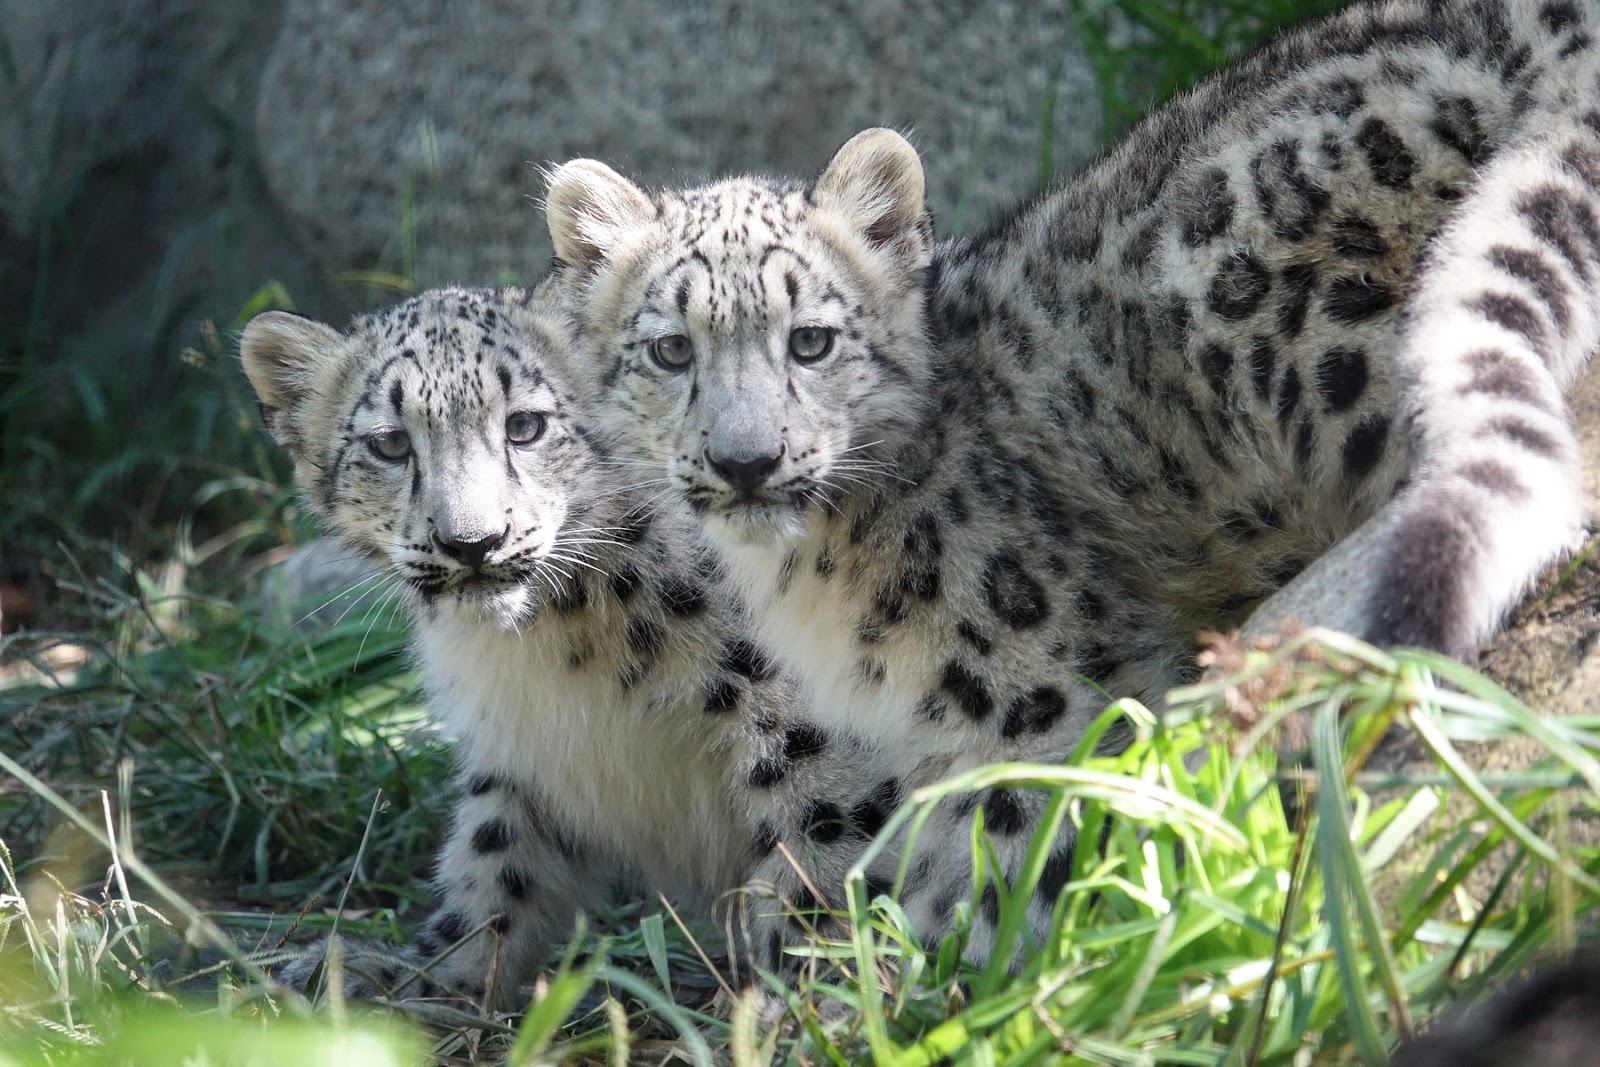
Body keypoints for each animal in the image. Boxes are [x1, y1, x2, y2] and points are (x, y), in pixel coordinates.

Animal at [240, 285, 960, 1006]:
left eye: (526, 425)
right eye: (390, 443)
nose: (472, 542)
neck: (556, 649)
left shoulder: (800, 723)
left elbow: (824, 838)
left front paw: (820, 993)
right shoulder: (519, 755)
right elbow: (493, 866)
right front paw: (415, 974)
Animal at [543, 0, 1600, 962]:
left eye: (810, 339)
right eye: (671, 349)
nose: (746, 459)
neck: (802, 585)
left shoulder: (1044, 697)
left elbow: (1024, 857)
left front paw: (972, 983)